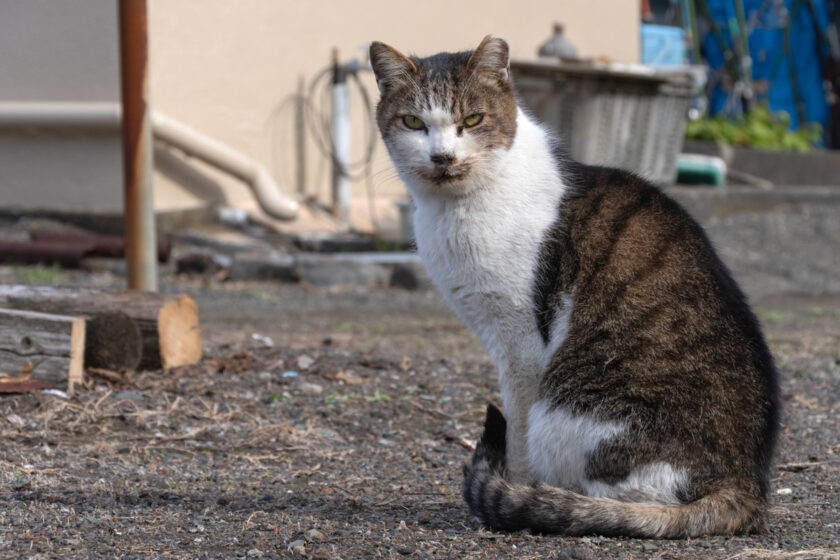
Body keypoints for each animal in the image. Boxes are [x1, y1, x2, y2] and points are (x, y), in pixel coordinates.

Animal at [370, 35, 776, 540]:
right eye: (413, 123)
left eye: (472, 121)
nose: (442, 157)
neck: (455, 208)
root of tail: (745, 484)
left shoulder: (520, 345)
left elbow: (516, 434)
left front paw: (516, 490)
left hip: (569, 415)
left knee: (633, 501)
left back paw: (553, 502)